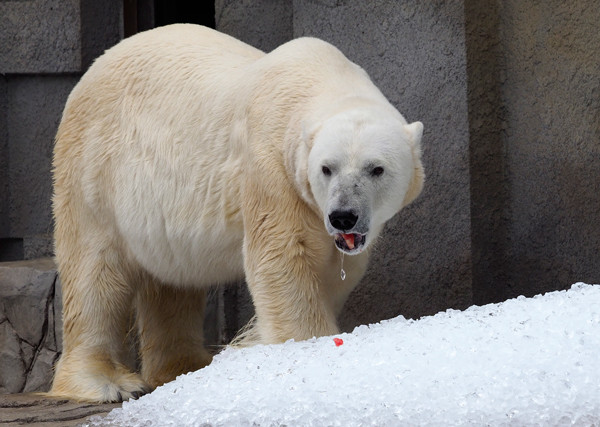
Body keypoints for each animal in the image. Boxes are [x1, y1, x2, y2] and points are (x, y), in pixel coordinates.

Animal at [48, 24, 422, 404]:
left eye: (376, 169)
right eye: (326, 168)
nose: (343, 216)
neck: (323, 79)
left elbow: (333, 272)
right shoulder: (271, 168)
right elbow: (283, 258)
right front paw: (304, 352)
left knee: (171, 281)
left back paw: (186, 366)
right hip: (95, 168)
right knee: (93, 271)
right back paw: (103, 382)